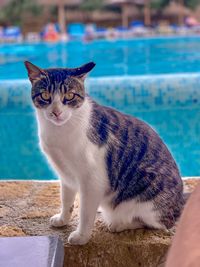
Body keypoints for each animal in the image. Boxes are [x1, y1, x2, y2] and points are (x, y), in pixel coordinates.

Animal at [24, 61, 184, 246]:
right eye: (45, 95)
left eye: (69, 95)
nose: (56, 112)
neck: (59, 132)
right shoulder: (65, 174)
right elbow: (66, 200)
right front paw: (63, 219)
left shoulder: (92, 180)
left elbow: (85, 212)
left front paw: (81, 237)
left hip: (147, 197)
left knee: (156, 223)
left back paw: (119, 223)